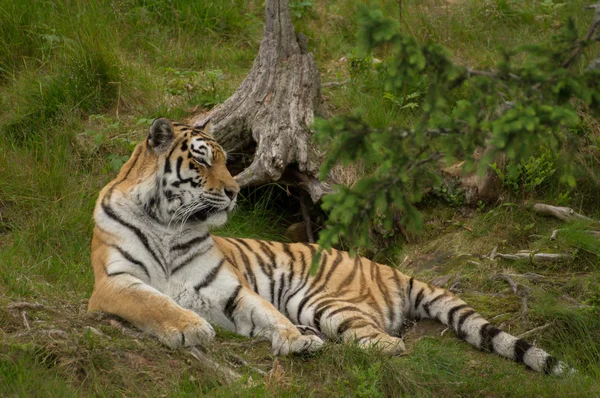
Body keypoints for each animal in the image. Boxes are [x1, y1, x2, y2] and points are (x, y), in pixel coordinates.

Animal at [89, 116, 572, 374]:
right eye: (203, 161)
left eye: (228, 160)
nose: (235, 191)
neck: (168, 223)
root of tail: (391, 266)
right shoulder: (114, 282)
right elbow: (154, 302)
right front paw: (190, 326)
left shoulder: (226, 288)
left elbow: (264, 313)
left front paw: (293, 339)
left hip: (319, 300)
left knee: (386, 343)